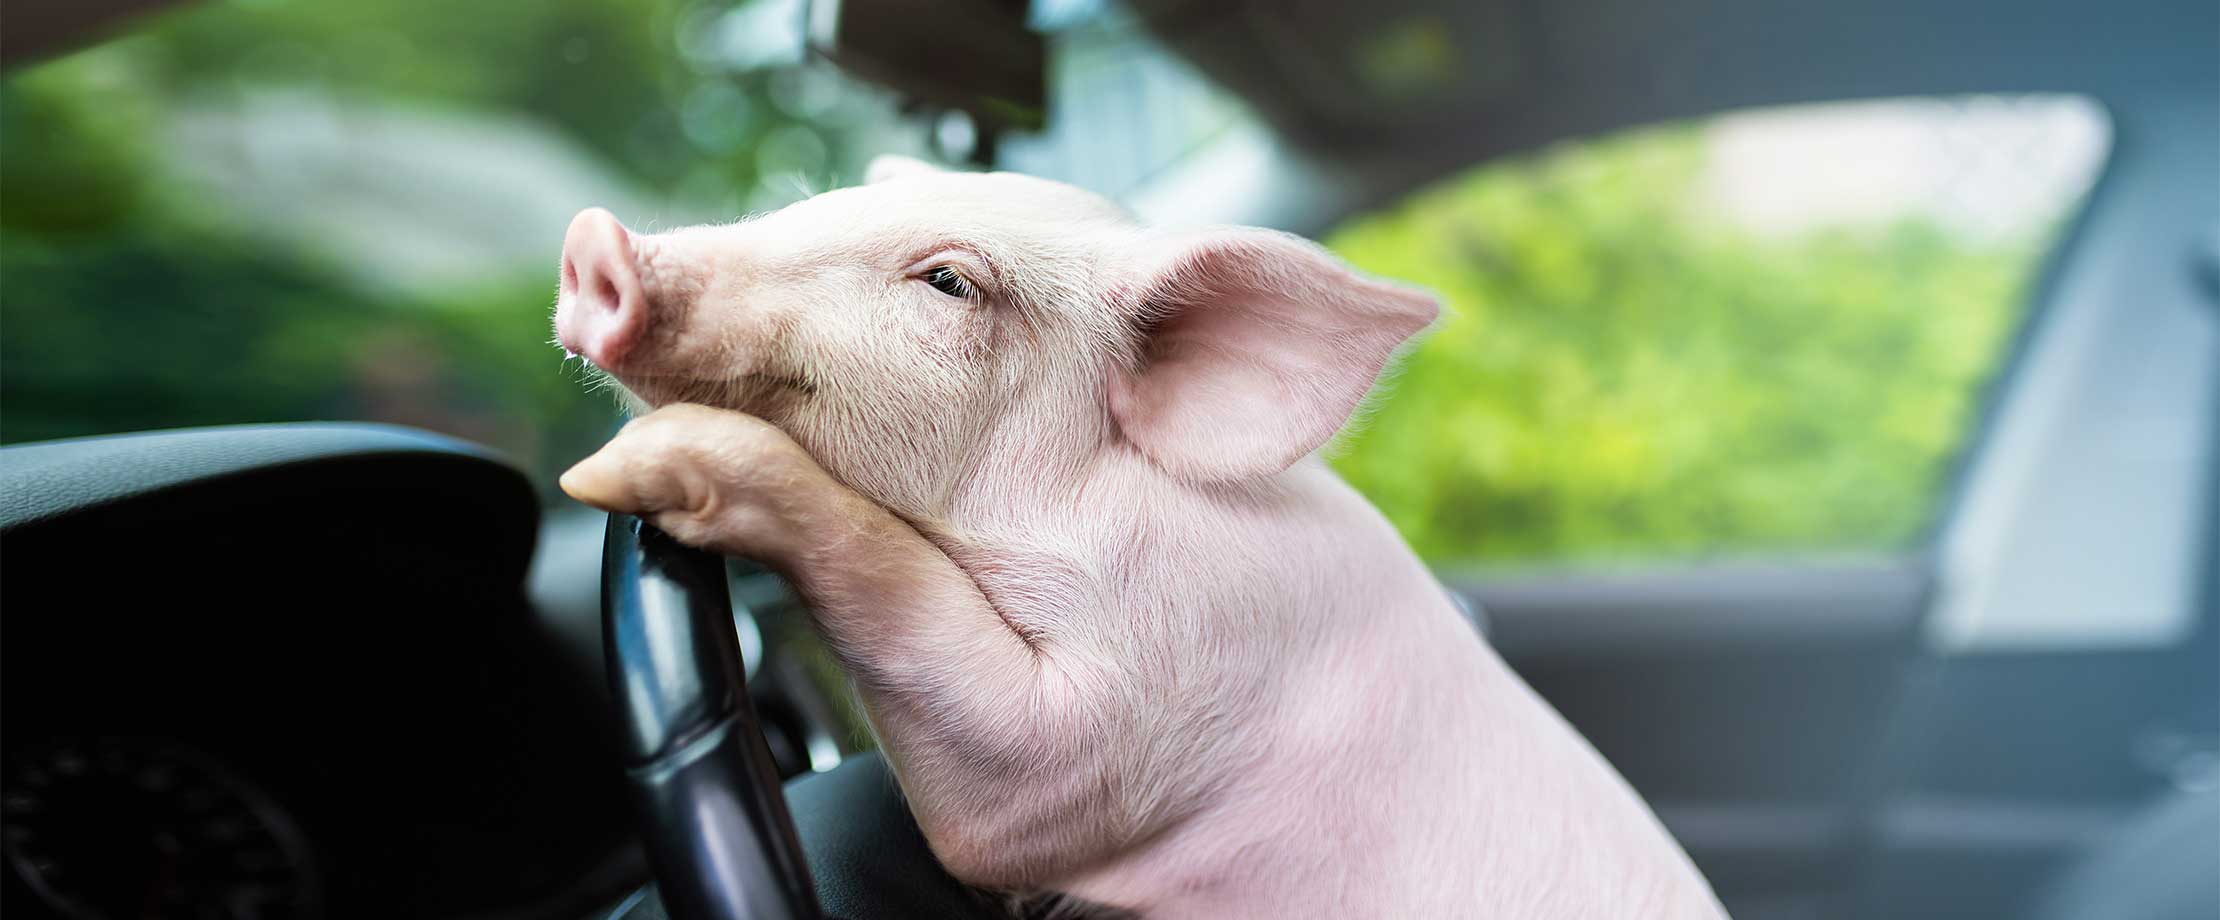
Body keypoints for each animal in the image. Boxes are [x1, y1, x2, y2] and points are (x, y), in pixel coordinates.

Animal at [550, 154, 1713, 915]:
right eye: (820, 203)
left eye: (948, 281)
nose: (596, 240)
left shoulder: (1150, 715)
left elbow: (994, 773)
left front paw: (617, 469)